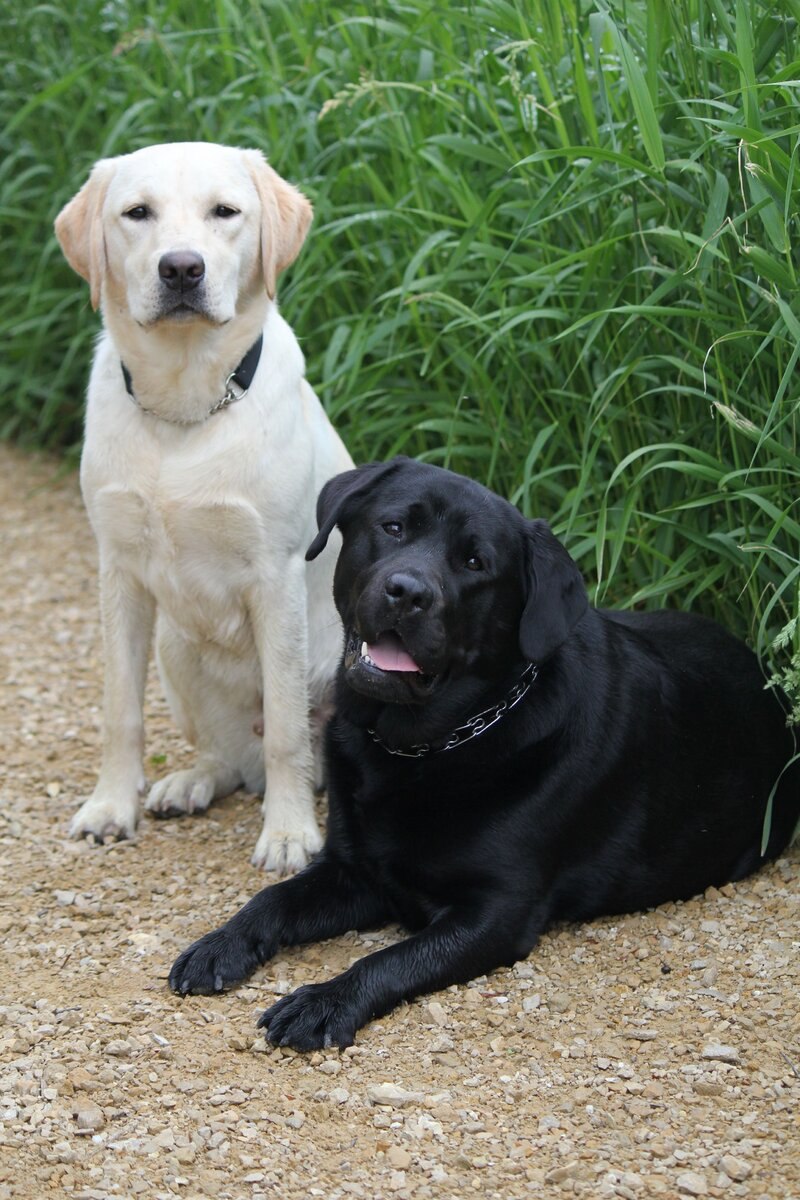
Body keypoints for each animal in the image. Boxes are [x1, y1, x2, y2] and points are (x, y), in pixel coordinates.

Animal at [54, 142, 353, 872]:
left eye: (225, 212)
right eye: (137, 213)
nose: (182, 268)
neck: (184, 411)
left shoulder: (275, 578)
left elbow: (286, 732)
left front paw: (289, 834)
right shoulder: (119, 573)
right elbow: (120, 711)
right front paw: (111, 806)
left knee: (290, 748)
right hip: (175, 648)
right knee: (231, 758)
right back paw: (188, 783)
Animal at [169, 457, 799, 1048]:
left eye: (475, 564)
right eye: (393, 527)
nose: (408, 592)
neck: (423, 747)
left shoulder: (496, 912)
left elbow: (388, 959)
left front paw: (324, 1002)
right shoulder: (350, 869)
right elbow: (273, 899)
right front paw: (221, 944)